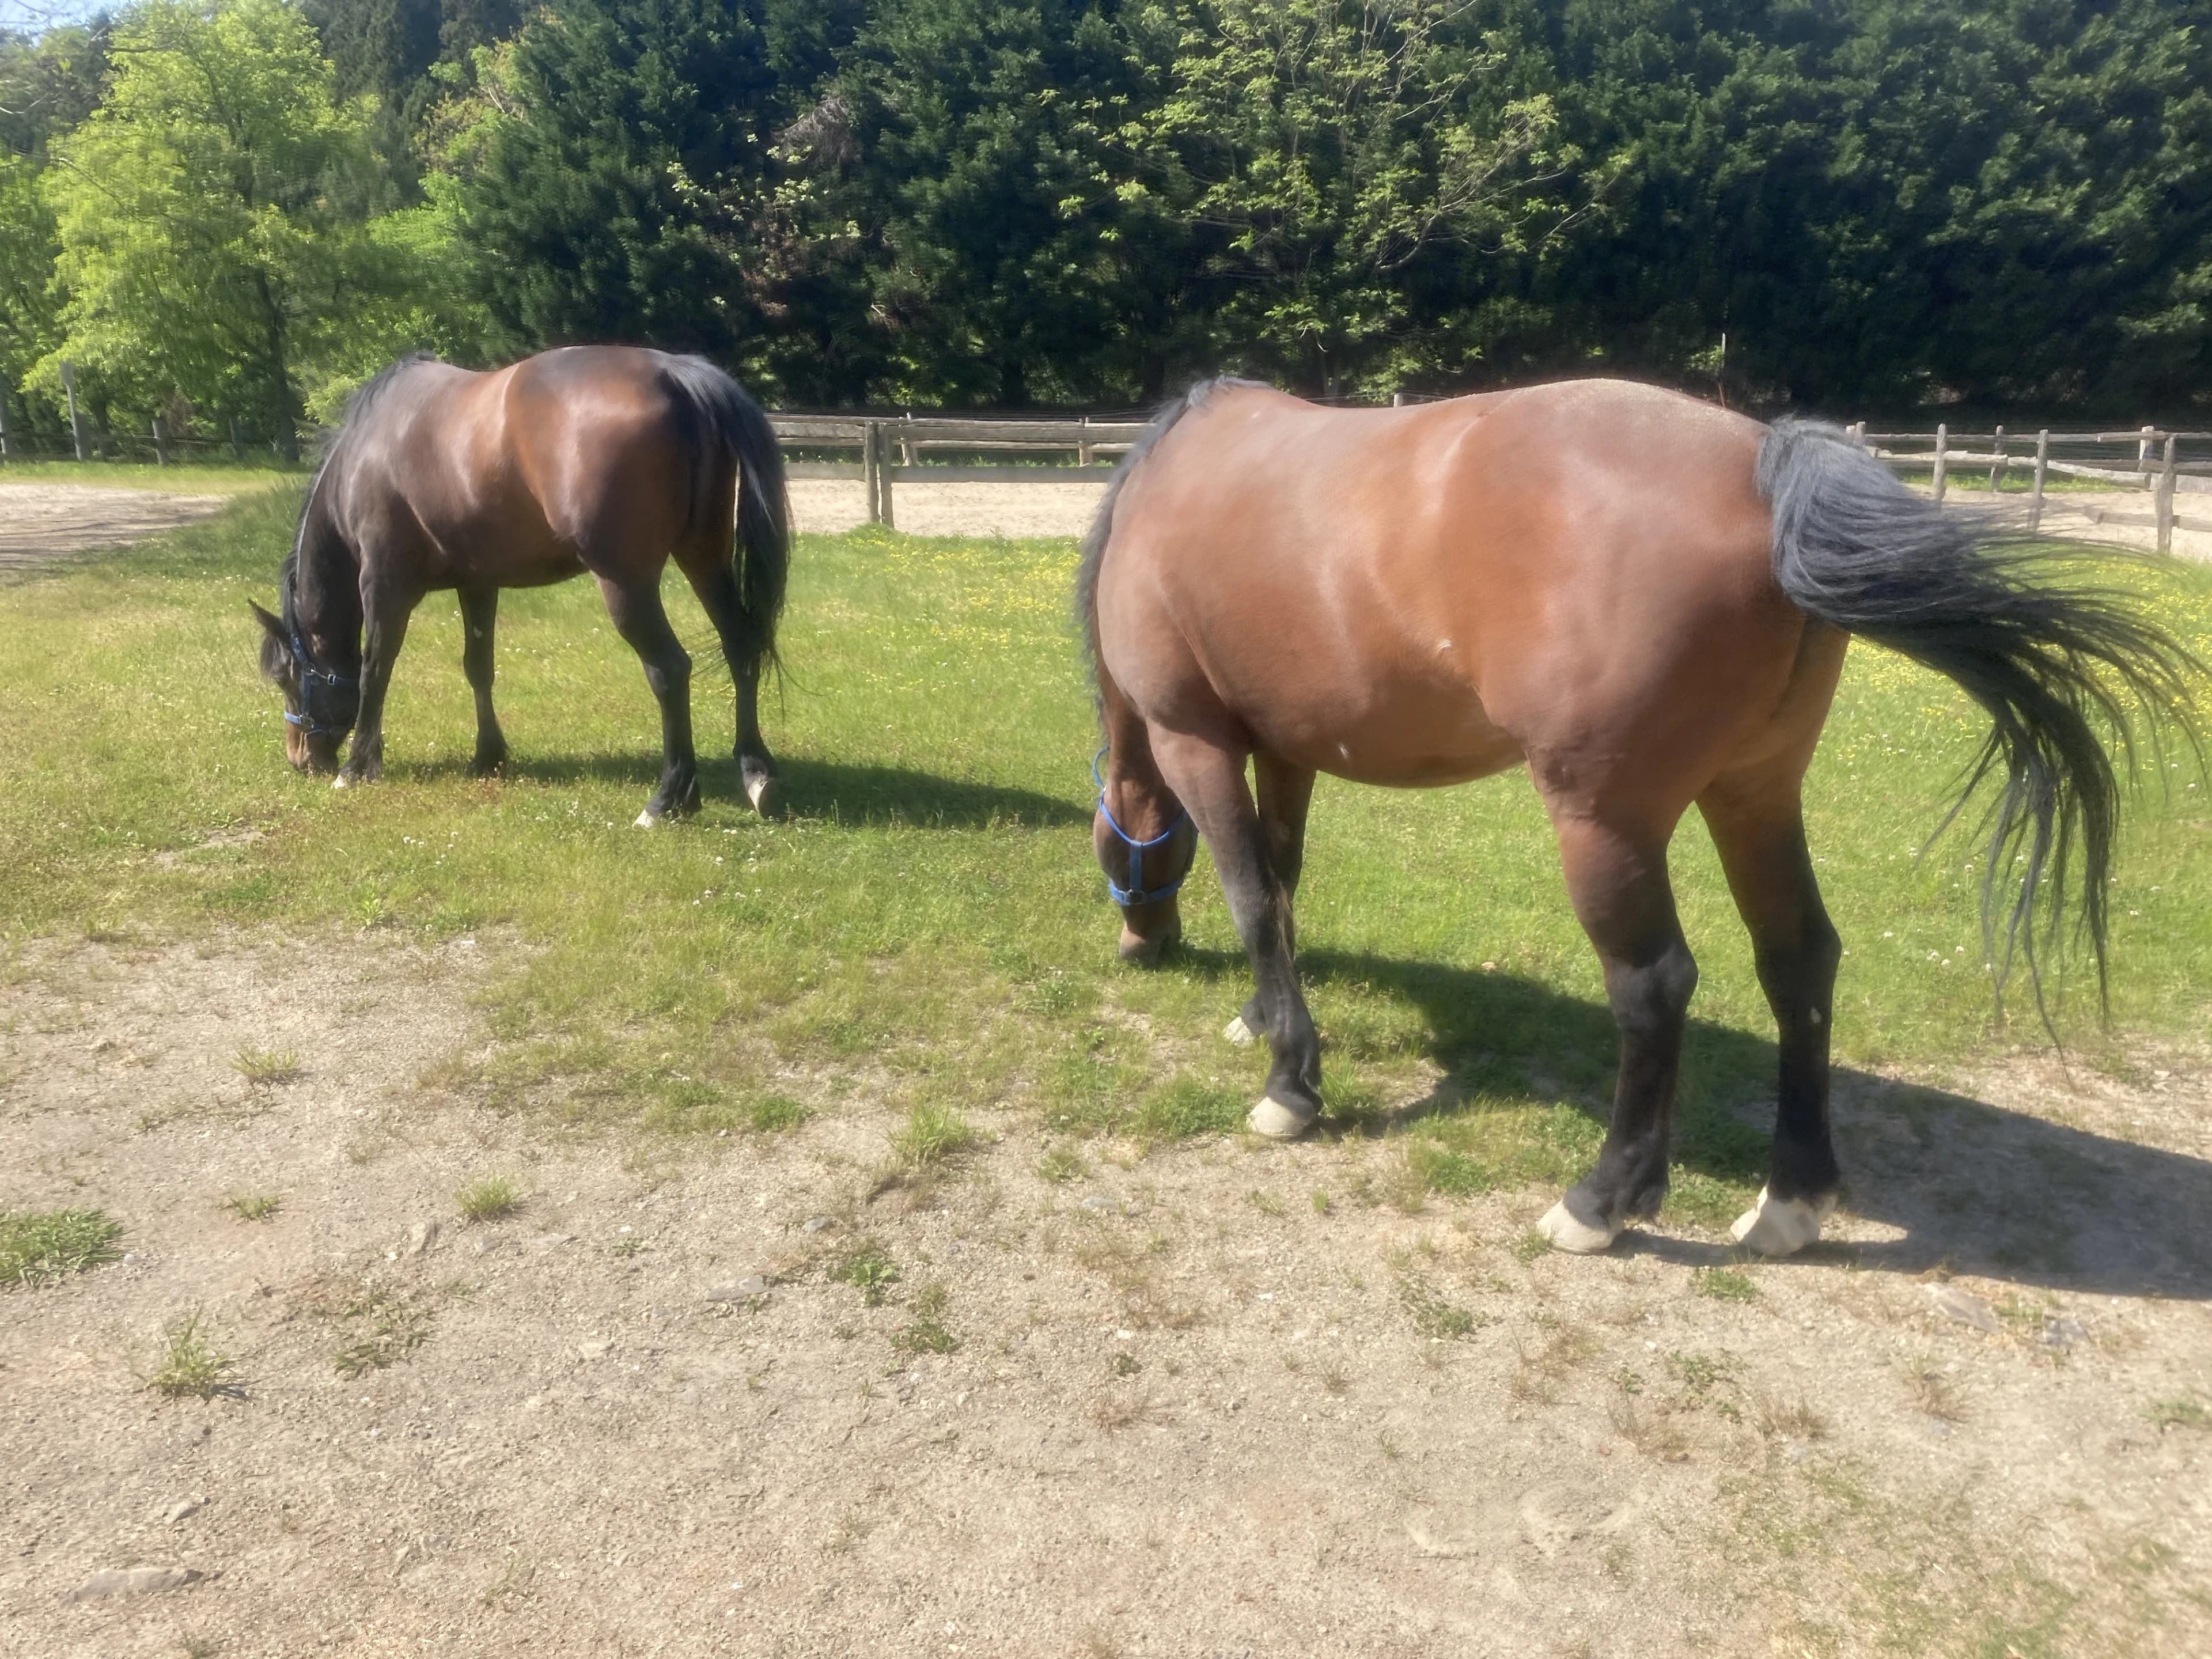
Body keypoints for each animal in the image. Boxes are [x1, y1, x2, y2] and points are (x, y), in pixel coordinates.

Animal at [251, 345, 790, 824]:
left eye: (284, 677)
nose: (300, 759)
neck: (365, 455)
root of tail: (675, 373)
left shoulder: (384, 587)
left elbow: (374, 670)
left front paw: (359, 765)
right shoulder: (477, 585)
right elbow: (478, 668)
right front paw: (488, 755)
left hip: (626, 583)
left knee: (671, 670)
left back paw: (668, 800)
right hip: (705, 559)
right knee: (740, 645)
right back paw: (756, 773)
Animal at [1078, 377, 2199, 1258]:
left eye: (1108, 836)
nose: (1139, 942)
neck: (1169, 485)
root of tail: (1760, 461)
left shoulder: (1195, 740)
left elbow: (1252, 896)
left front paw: (1288, 1086)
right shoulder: (1287, 749)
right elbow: (1282, 883)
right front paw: (1265, 1019)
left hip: (1606, 827)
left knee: (1655, 986)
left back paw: (1602, 1201)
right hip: (1755, 793)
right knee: (1799, 962)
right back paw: (1789, 1201)